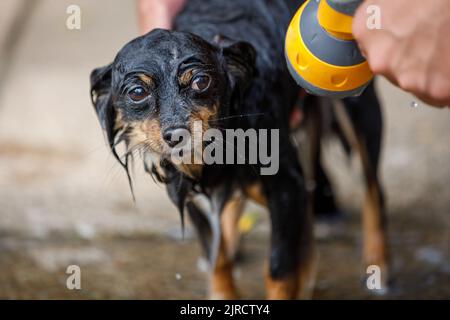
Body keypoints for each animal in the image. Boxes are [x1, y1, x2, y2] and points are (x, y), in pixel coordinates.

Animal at [89, 0, 388, 300]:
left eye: (201, 81)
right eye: (137, 92)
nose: (177, 135)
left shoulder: (287, 188)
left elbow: (280, 269)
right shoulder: (188, 190)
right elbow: (216, 257)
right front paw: (222, 293)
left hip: (359, 109)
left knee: (373, 190)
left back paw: (378, 268)